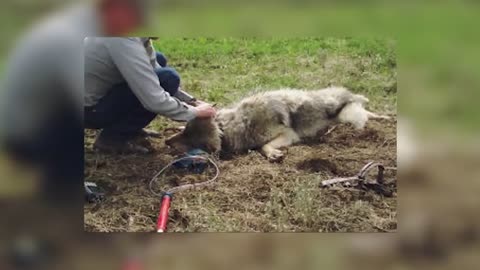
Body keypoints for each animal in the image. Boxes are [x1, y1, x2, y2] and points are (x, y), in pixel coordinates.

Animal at [166, 87, 390, 161]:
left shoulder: (288, 135)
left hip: (347, 115)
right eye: (185, 134)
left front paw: (272, 154)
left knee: (366, 113)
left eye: (190, 140)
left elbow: (262, 146)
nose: (166, 142)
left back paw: (384, 118)